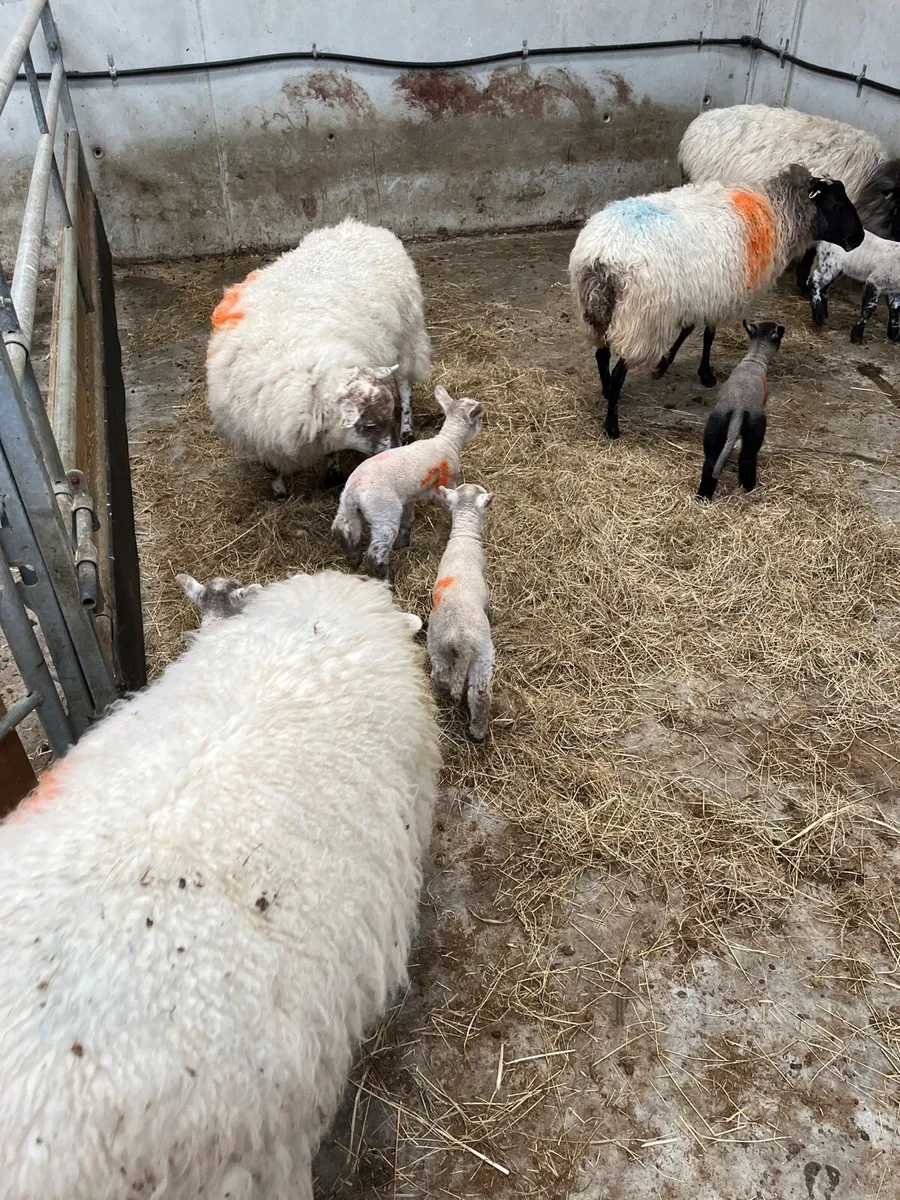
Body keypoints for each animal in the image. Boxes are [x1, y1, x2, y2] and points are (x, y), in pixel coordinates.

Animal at [206, 218, 431, 498]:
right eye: (369, 425)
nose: (395, 452)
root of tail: (362, 226)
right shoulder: (256, 426)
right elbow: (271, 465)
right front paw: (279, 493)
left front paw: (333, 474)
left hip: (406, 334)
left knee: (404, 384)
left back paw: (408, 428)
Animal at [332, 385, 484, 580]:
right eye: (479, 418)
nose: (482, 423)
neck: (448, 441)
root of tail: (355, 490)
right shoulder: (447, 481)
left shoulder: (410, 497)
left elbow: (409, 517)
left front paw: (403, 543)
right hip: (384, 512)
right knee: (376, 553)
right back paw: (385, 578)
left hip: (347, 506)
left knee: (342, 530)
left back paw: (354, 560)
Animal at [427, 484, 495, 742]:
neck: (464, 536)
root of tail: (462, 639)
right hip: (467, 651)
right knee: (465, 687)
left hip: (458, 651)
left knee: (469, 689)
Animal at [569, 165, 863, 439]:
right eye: (835, 204)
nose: (858, 238)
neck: (776, 214)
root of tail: (602, 257)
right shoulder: (720, 294)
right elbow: (708, 335)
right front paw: (704, 373)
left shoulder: (700, 294)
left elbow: (688, 329)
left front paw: (665, 363)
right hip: (641, 319)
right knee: (620, 370)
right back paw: (612, 424)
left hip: (595, 311)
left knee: (601, 353)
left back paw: (606, 390)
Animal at [697, 320, 785, 502]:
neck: (755, 358)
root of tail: (738, 409)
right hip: (755, 430)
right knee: (747, 459)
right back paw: (749, 489)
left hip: (715, 427)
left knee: (710, 462)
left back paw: (703, 497)